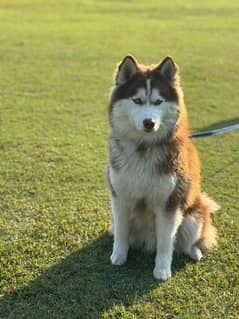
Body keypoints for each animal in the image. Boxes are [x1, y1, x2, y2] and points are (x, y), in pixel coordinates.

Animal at [107, 56, 219, 282]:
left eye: (158, 102)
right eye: (137, 100)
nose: (149, 123)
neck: (143, 148)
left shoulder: (170, 203)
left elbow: (166, 242)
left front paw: (162, 270)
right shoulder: (120, 197)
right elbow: (122, 232)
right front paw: (119, 256)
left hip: (194, 216)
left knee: (187, 241)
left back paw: (195, 252)